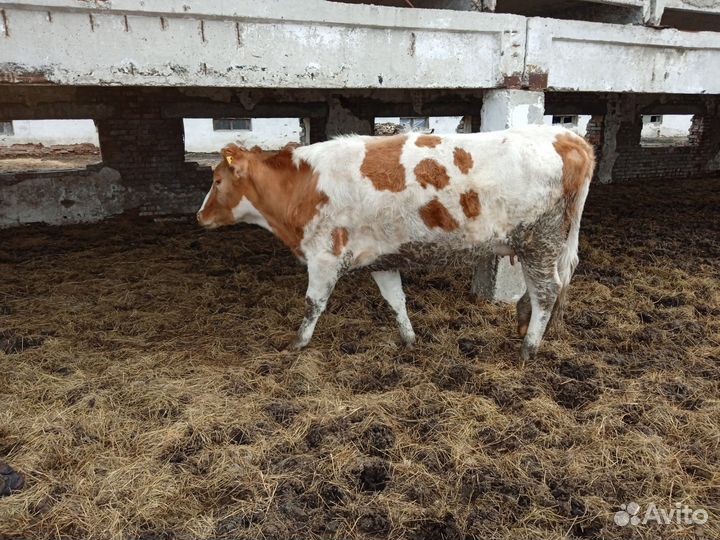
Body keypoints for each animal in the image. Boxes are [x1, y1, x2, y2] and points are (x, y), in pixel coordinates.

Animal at [197, 125, 595, 360]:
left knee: (547, 291)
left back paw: (529, 347)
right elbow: (396, 301)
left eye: (216, 181)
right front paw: (409, 339)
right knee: (540, 290)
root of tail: (565, 136)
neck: (303, 185)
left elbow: (313, 304)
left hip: (539, 240)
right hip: (538, 246)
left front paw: (297, 343)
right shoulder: (382, 259)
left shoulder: (324, 256)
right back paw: (523, 325)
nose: (199, 216)